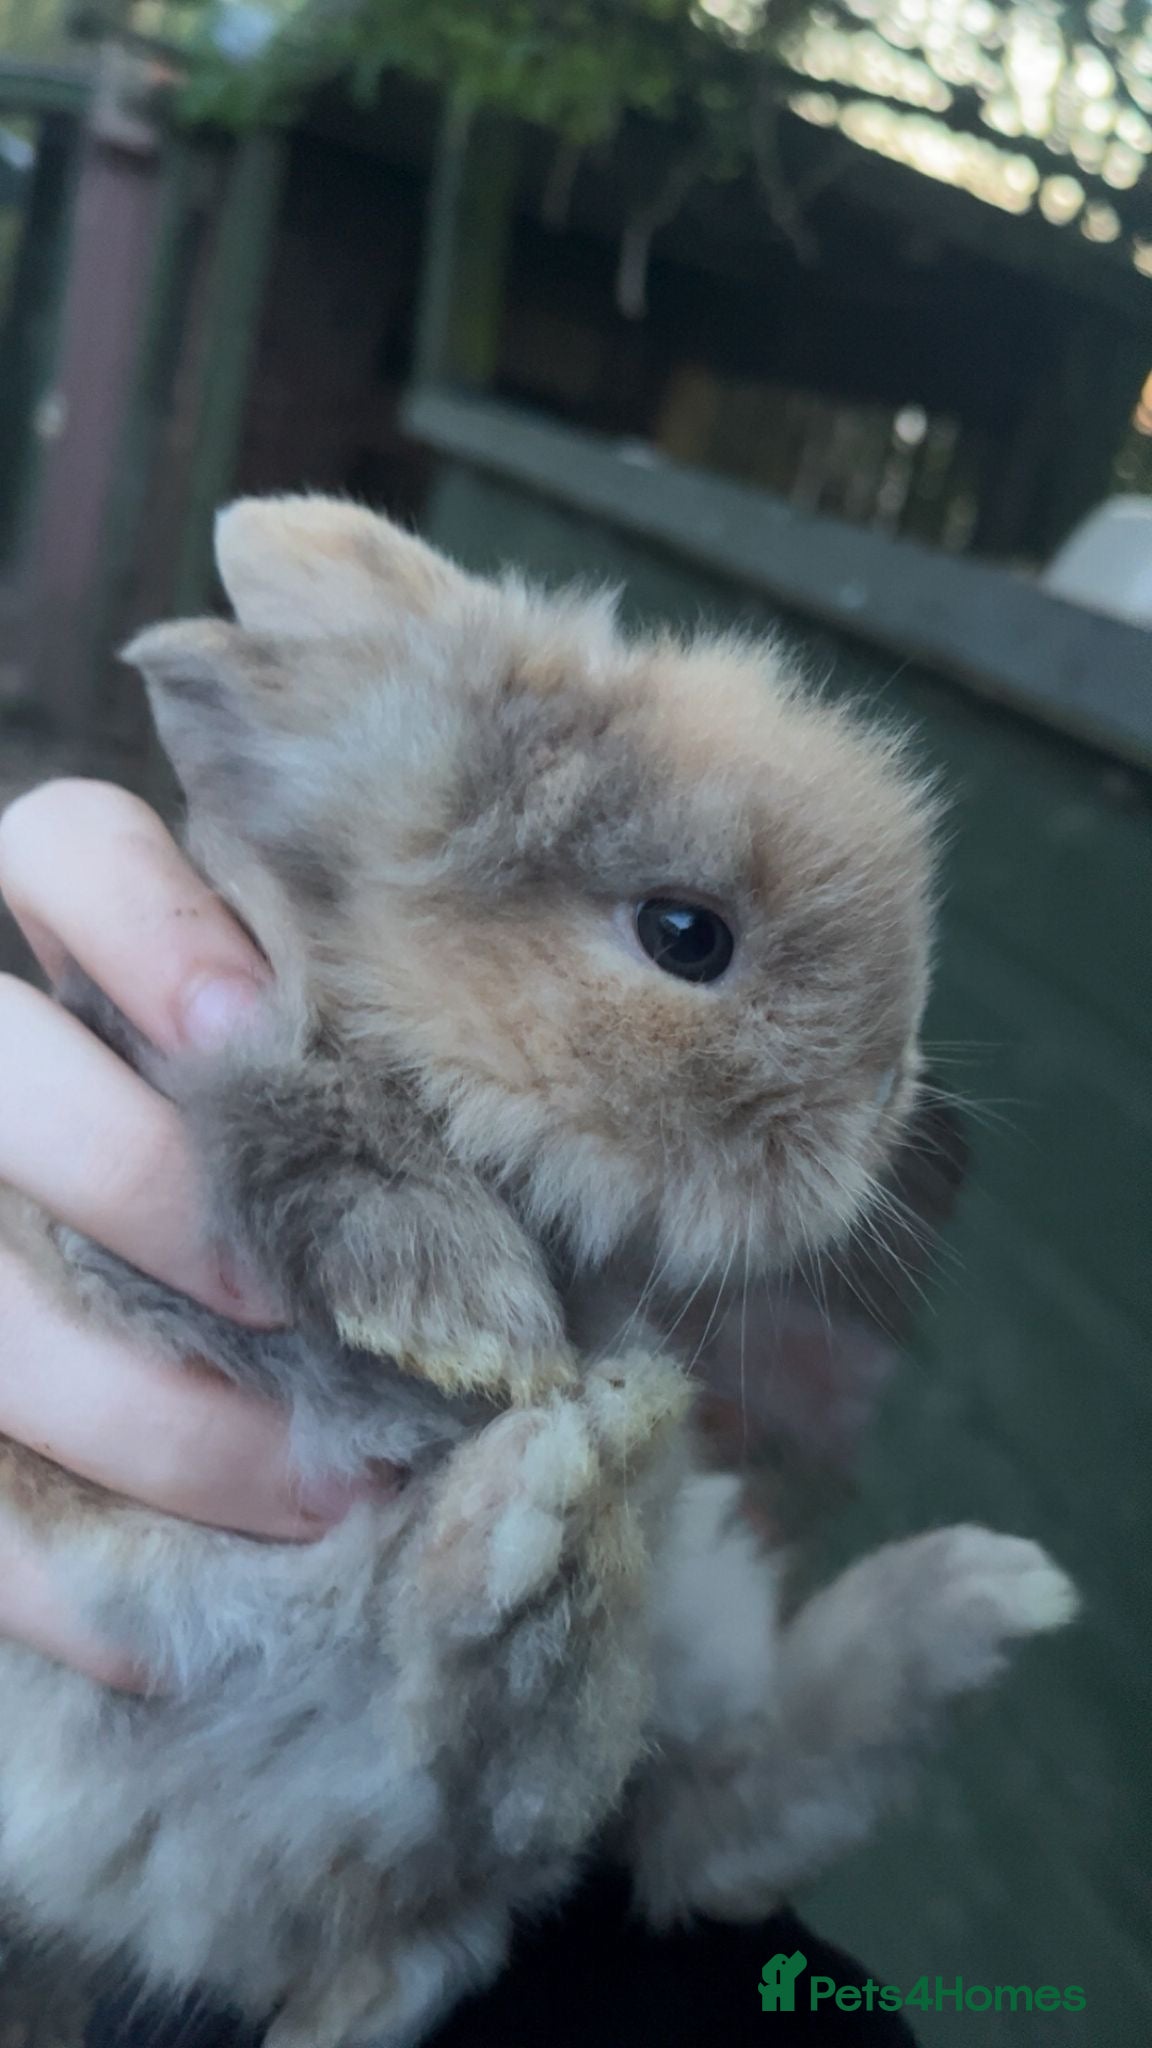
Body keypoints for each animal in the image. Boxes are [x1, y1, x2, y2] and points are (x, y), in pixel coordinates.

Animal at [0, 498, 1076, 2047]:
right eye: (686, 934)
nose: (889, 1095)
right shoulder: (176, 1126)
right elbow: (290, 1104)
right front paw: (478, 1322)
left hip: (677, 1628)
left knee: (638, 1819)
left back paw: (962, 1587)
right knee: (491, 1774)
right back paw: (548, 1503)